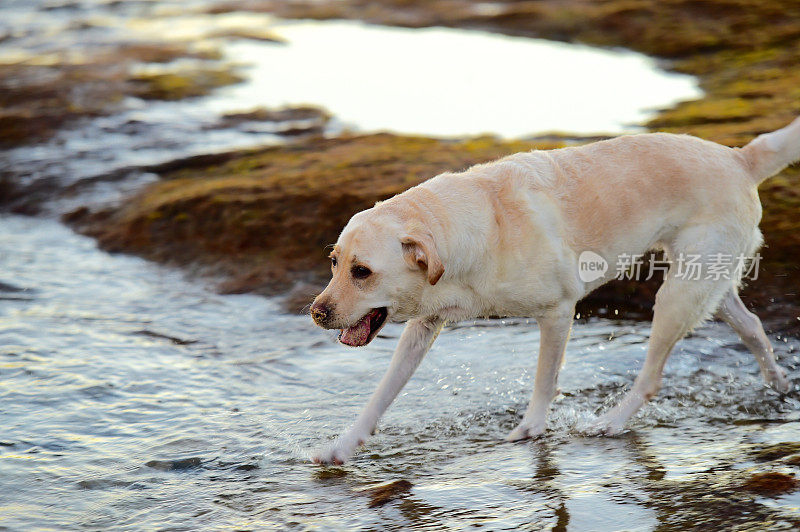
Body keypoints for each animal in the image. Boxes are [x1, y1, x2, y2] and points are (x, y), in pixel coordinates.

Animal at [310, 115, 796, 462]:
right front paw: (343, 446)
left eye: (362, 271)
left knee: (652, 376)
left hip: (678, 294)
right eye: (334, 262)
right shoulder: (424, 327)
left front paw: (532, 428)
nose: (316, 312)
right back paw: (778, 385)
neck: (471, 231)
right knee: (753, 326)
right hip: (707, 285)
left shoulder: (558, 311)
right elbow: (382, 393)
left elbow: (545, 379)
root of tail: (739, 157)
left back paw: (609, 423)